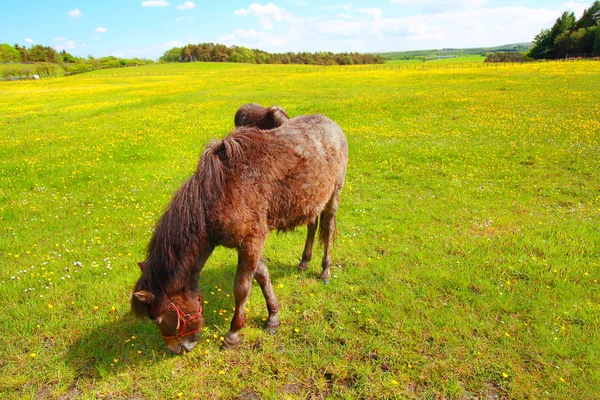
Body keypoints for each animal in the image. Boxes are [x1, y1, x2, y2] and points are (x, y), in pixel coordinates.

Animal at [131, 113, 346, 354]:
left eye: (158, 318)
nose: (178, 348)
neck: (221, 193)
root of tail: (331, 124)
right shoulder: (252, 244)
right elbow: (262, 275)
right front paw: (273, 316)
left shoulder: (251, 243)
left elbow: (241, 289)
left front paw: (233, 333)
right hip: (312, 202)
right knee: (312, 226)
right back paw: (304, 262)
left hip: (333, 197)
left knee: (327, 230)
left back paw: (325, 271)